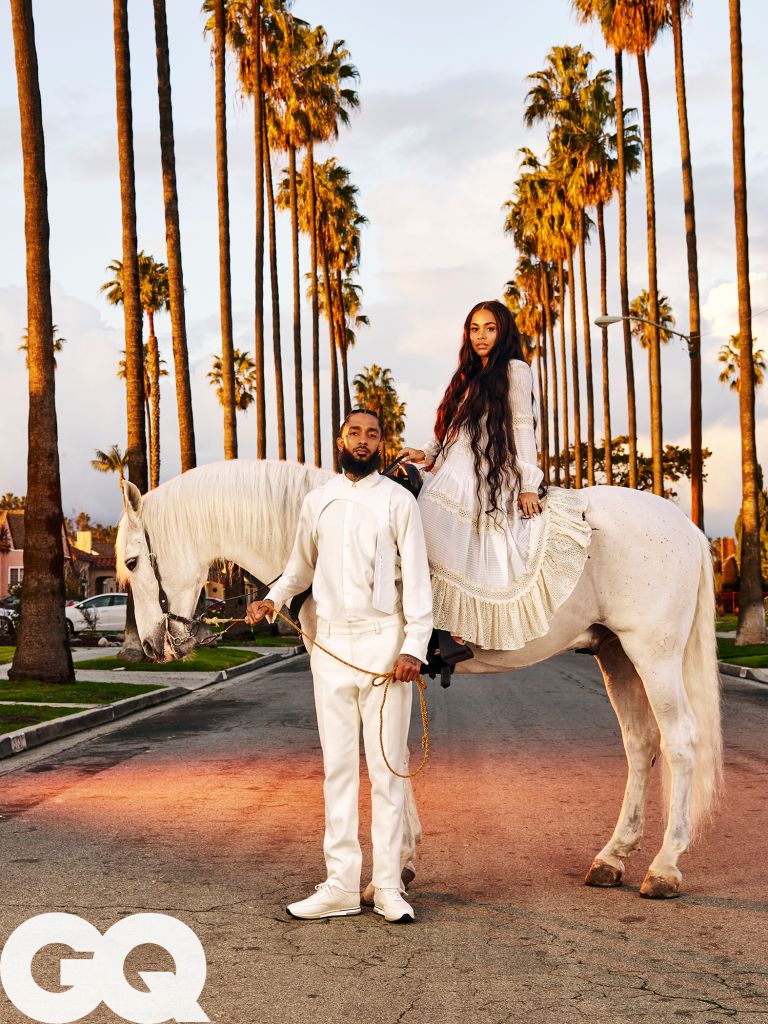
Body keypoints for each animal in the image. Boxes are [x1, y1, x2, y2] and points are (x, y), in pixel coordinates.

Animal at [117, 460, 724, 901]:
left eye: (131, 561)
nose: (150, 646)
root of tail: (685, 525)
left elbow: (381, 754)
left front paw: (392, 869)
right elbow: (397, 757)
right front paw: (402, 862)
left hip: (653, 652)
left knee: (681, 744)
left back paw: (665, 867)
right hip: (616, 653)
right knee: (641, 744)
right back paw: (613, 857)